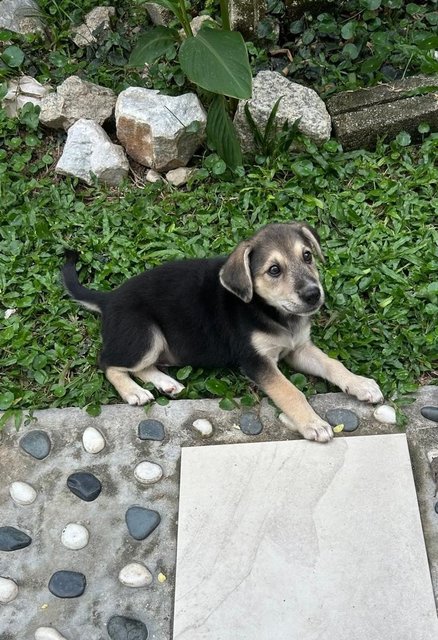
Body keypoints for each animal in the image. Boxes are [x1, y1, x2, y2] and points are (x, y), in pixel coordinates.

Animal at [62, 222, 384, 442]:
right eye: (274, 270)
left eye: (307, 256)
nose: (313, 295)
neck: (272, 312)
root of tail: (110, 298)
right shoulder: (256, 361)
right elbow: (290, 391)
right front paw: (312, 423)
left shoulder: (298, 349)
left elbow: (332, 363)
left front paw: (360, 384)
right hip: (145, 334)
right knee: (108, 363)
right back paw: (134, 392)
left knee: (138, 366)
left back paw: (166, 384)